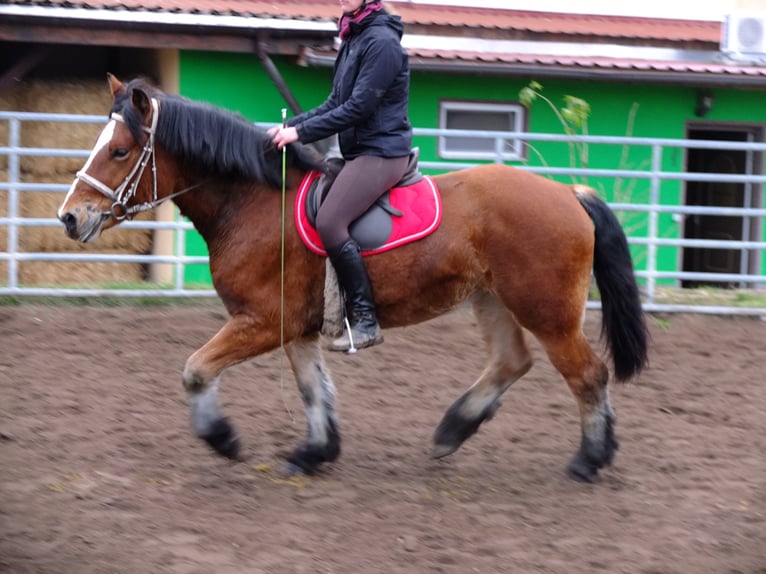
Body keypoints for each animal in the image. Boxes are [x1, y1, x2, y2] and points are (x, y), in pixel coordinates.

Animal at [57, 74, 652, 484]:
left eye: (119, 150)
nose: (68, 217)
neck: (252, 202)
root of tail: (568, 192)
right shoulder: (293, 329)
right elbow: (313, 389)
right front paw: (314, 452)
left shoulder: (260, 322)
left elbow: (196, 369)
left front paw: (222, 438)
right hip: (492, 298)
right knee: (512, 362)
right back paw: (452, 430)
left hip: (547, 312)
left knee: (588, 374)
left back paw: (589, 459)